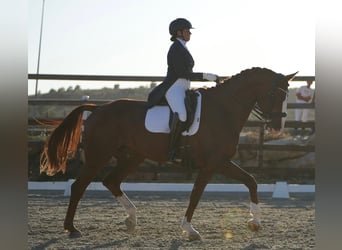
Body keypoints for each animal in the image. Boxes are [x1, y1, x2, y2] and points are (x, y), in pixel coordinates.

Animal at [40, 67, 296, 240]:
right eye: (275, 95)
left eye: (286, 96)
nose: (277, 127)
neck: (223, 109)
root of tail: (98, 108)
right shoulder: (213, 163)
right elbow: (196, 195)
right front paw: (190, 230)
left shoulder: (221, 162)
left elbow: (251, 181)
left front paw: (255, 222)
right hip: (98, 156)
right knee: (78, 186)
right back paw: (72, 228)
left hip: (132, 156)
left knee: (111, 181)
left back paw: (131, 219)